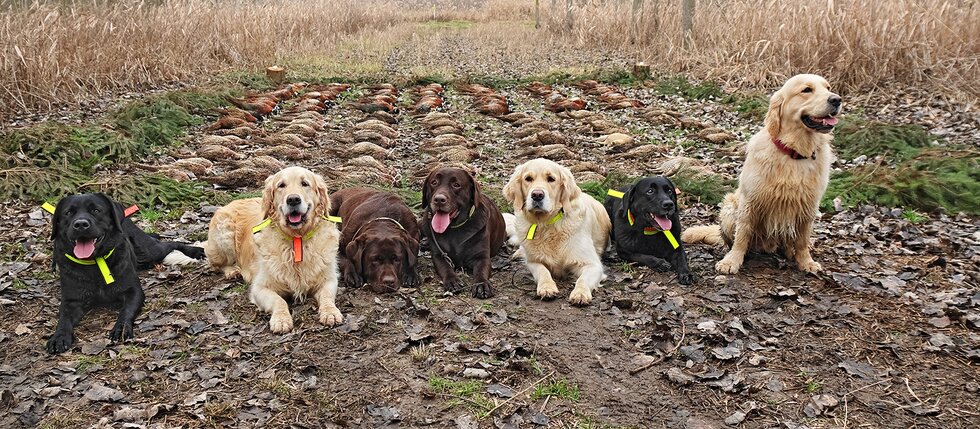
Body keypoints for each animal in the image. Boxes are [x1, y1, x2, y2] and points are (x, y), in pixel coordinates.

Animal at [204, 166, 344, 332]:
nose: (293, 199)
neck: (297, 238)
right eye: (281, 185)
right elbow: (279, 301)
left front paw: (331, 313)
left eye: (305, 183)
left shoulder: (329, 279)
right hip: (224, 232)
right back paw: (232, 271)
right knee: (217, 263)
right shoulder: (260, 288)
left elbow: (327, 297)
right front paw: (281, 320)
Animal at [418, 166, 506, 298]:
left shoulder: (482, 257)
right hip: (424, 222)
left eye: (456, 185)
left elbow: (481, 271)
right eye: (434, 182)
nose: (439, 199)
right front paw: (452, 280)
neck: (454, 228)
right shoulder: (439, 255)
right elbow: (446, 268)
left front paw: (482, 284)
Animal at [506, 158, 612, 304]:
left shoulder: (593, 265)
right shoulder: (533, 262)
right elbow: (543, 271)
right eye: (528, 178)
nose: (537, 195)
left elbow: (582, 279)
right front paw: (547, 287)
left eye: (551, 179)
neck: (546, 225)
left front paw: (580, 293)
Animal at [680, 74, 844, 272]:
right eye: (806, 90)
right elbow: (742, 236)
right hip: (729, 209)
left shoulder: (808, 206)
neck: (794, 153)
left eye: (828, 88)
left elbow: (802, 241)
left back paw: (790, 252)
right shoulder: (750, 201)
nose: (836, 99)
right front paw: (732, 260)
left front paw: (806, 261)